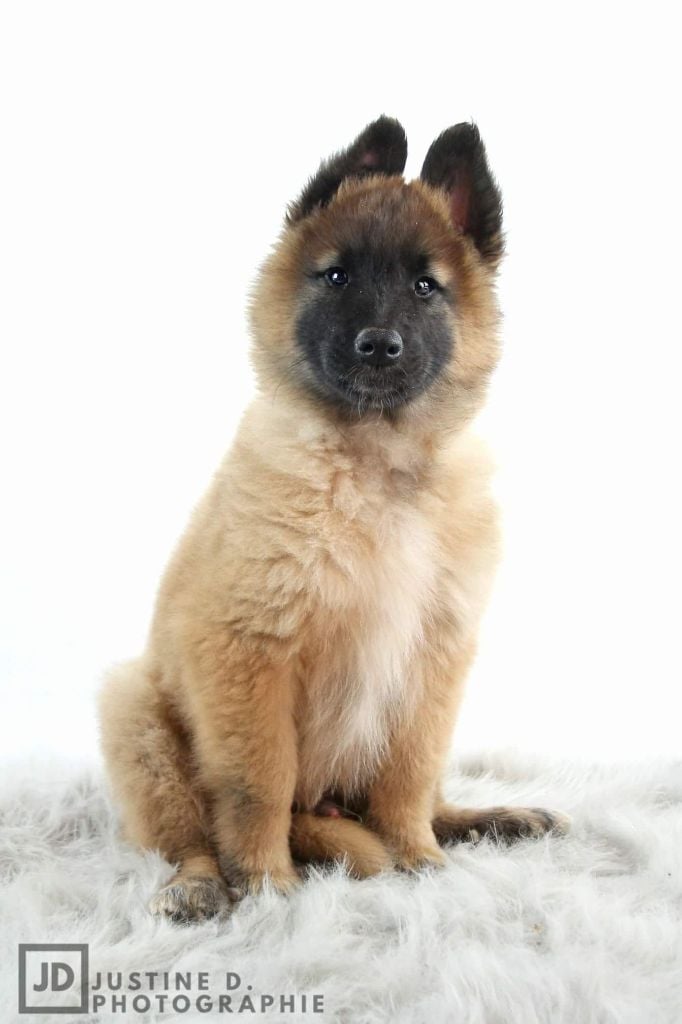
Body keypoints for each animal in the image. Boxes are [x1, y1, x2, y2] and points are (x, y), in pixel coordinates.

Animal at [99, 116, 568, 923]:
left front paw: (420, 862)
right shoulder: (249, 654)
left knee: (427, 794)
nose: (378, 346)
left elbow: (407, 777)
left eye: (425, 286)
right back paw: (200, 885)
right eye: (337, 277)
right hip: (138, 717)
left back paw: (493, 820)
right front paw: (266, 886)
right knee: (190, 831)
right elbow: (258, 784)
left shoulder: (433, 662)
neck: (374, 461)